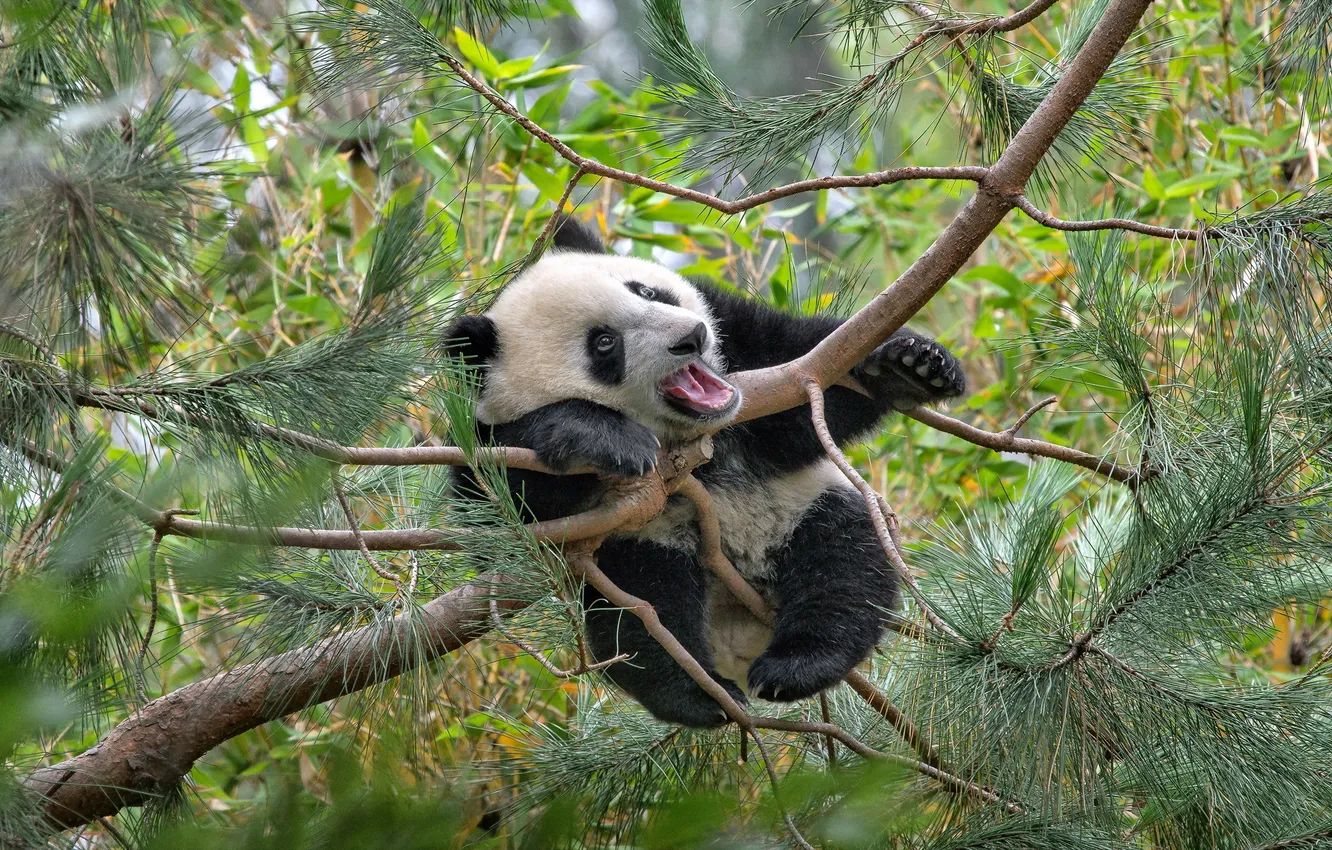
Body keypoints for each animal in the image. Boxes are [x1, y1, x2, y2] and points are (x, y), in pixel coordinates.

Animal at [446, 217, 965, 727]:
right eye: (604, 343)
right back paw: (702, 694)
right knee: (643, 616)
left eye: (646, 291)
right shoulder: (479, 432)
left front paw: (909, 366)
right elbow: (496, 523)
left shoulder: (743, 343)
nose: (691, 337)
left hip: (808, 503)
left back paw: (797, 664)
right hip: (639, 550)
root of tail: (741, 629)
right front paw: (599, 435)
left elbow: (803, 376)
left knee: (843, 564)